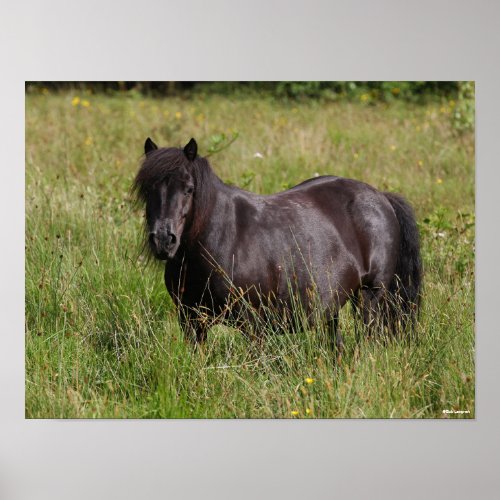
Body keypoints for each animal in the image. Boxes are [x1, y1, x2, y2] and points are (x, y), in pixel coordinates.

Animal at [134, 137, 422, 352]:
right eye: (147, 189)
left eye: (189, 189)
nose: (164, 240)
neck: (221, 239)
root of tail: (381, 197)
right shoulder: (191, 321)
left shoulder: (252, 324)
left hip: (370, 297)